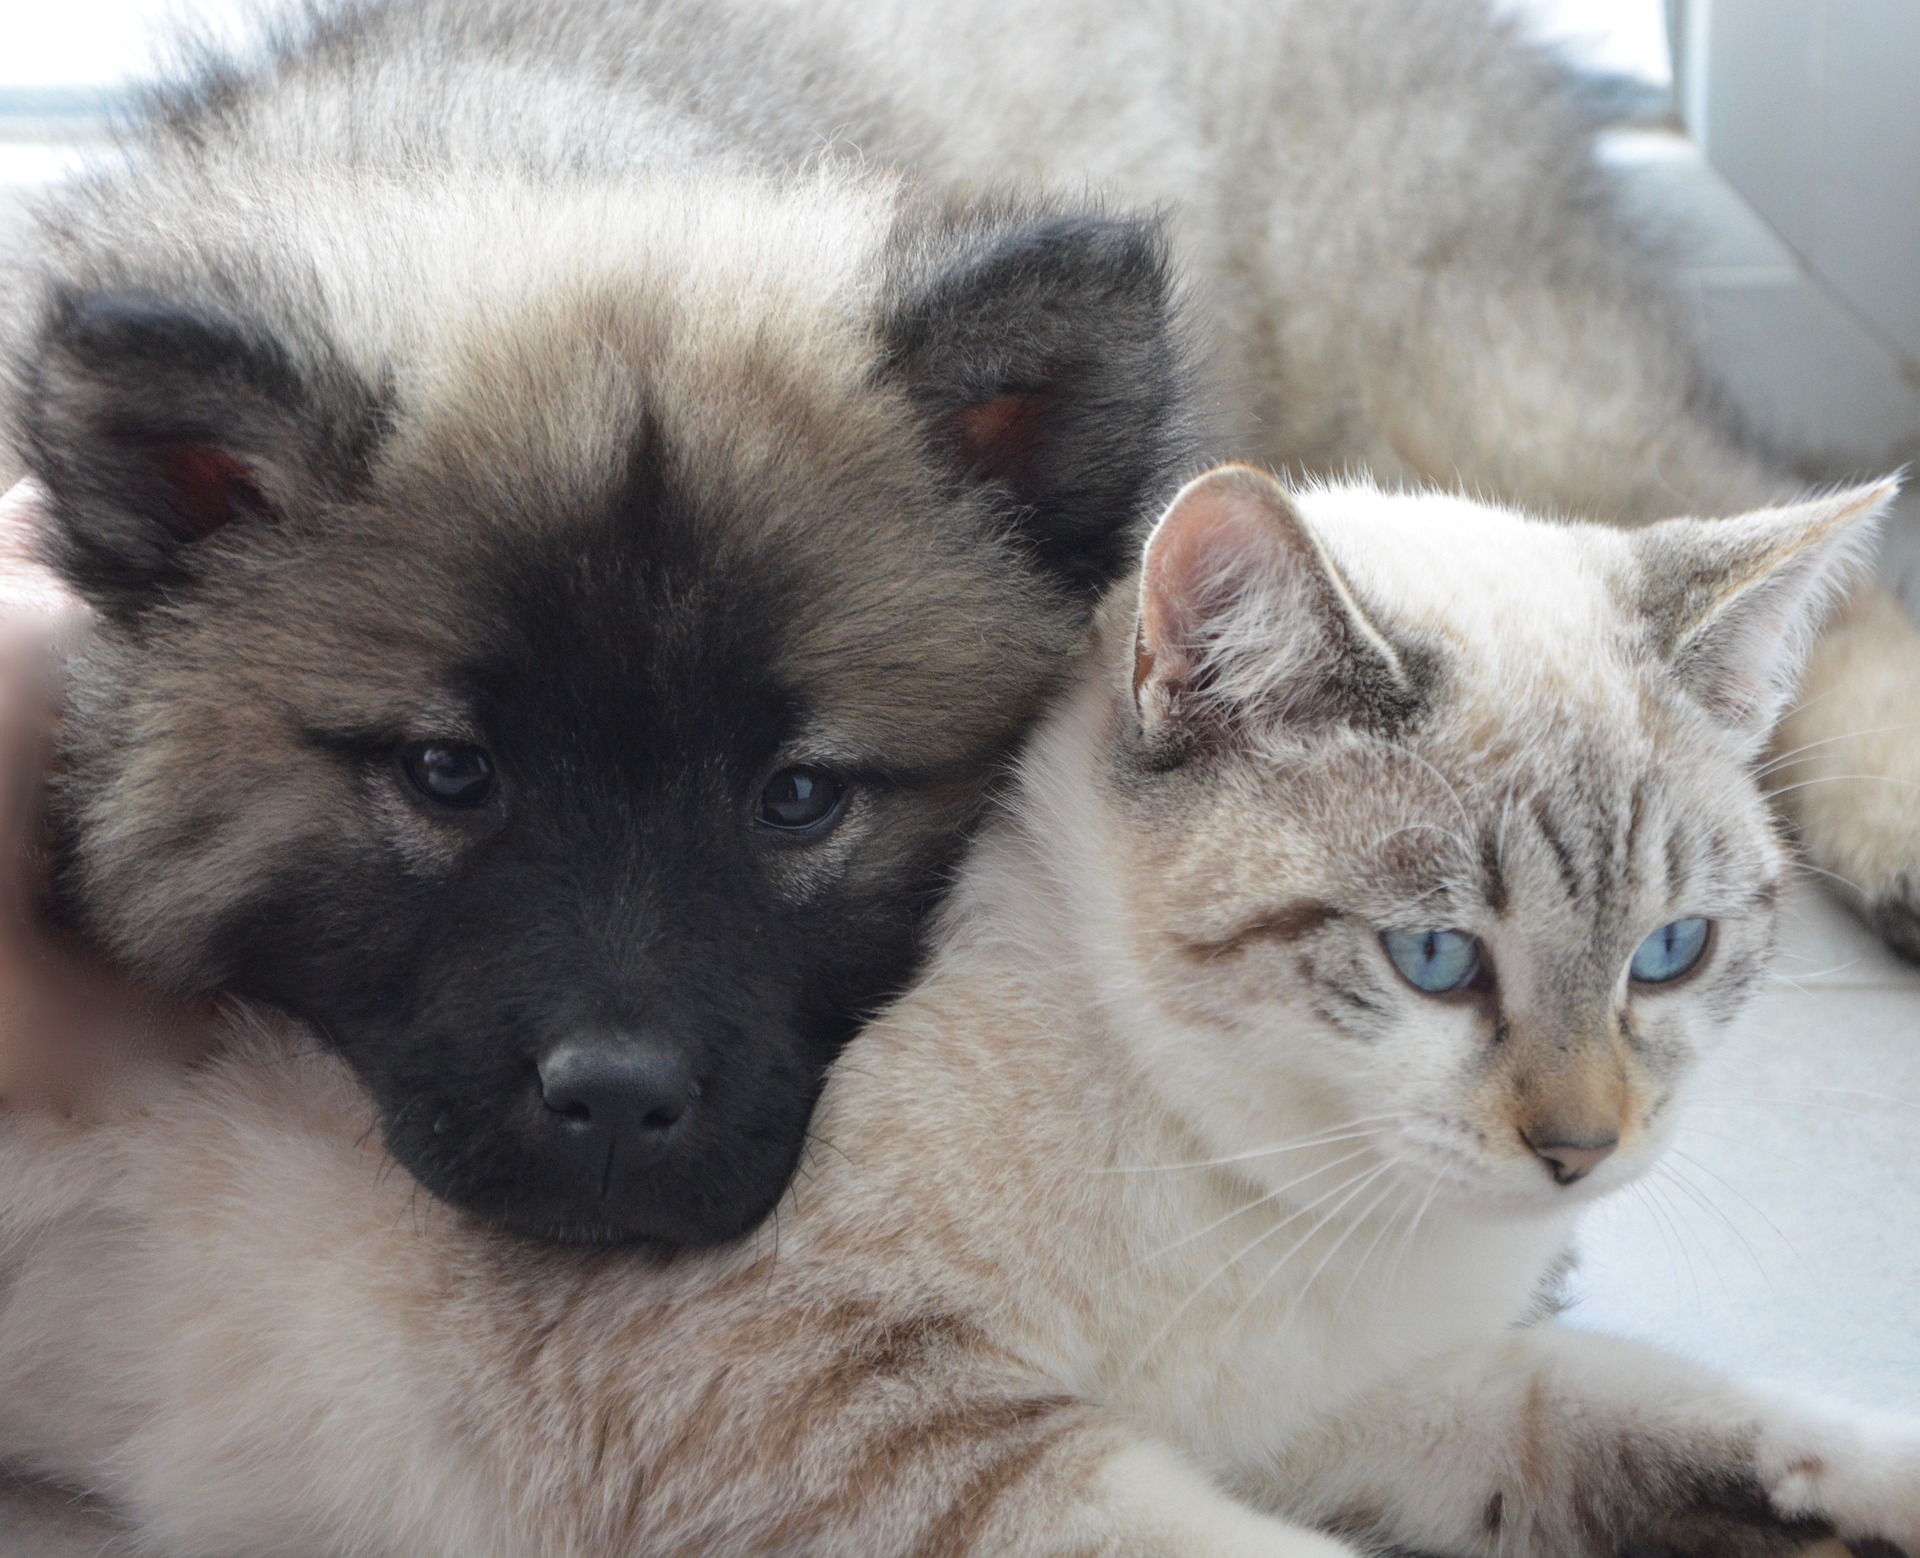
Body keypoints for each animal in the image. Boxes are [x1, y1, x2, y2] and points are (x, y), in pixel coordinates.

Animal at [0, 466, 1904, 1558]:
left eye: (1670, 952)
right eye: (1438, 959)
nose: (1583, 1151)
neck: (1264, 1196)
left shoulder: (1342, 1408)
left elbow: (1634, 1399)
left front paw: (1852, 1482)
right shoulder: (855, 1421)